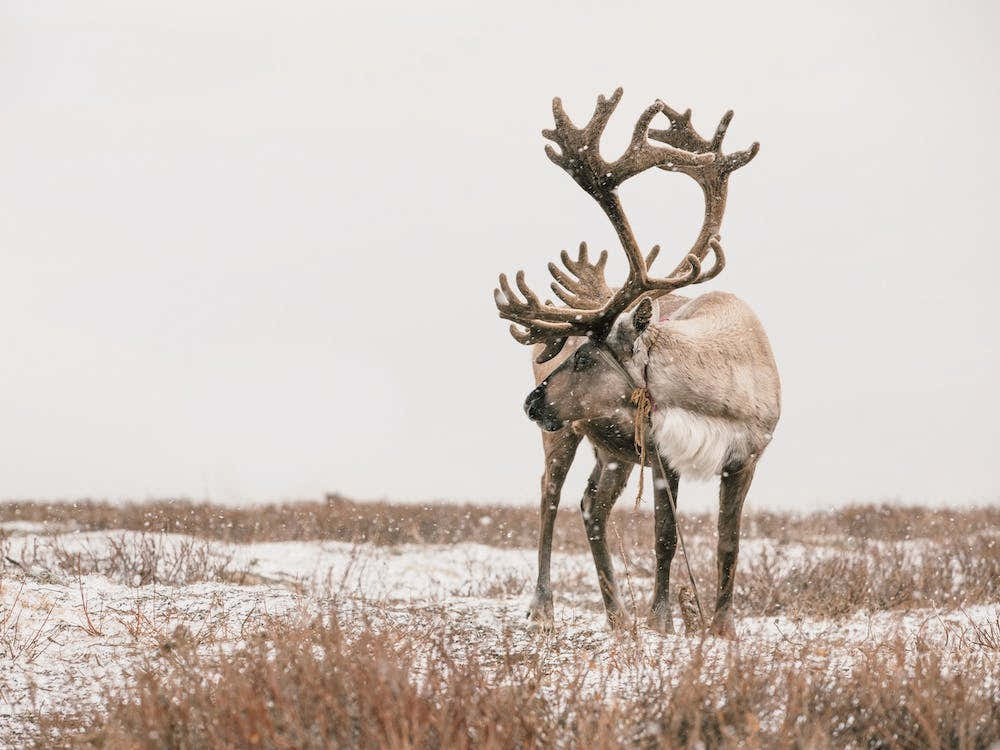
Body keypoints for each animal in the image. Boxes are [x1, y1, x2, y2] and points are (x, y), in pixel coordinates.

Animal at [494, 88, 779, 638]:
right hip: (564, 434)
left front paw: (722, 628)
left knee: (592, 506)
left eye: (587, 357)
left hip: (614, 453)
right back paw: (544, 607)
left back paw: (616, 613)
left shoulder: (746, 458)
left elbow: (728, 545)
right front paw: (662, 619)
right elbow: (665, 538)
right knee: (549, 497)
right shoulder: (665, 456)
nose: (529, 402)